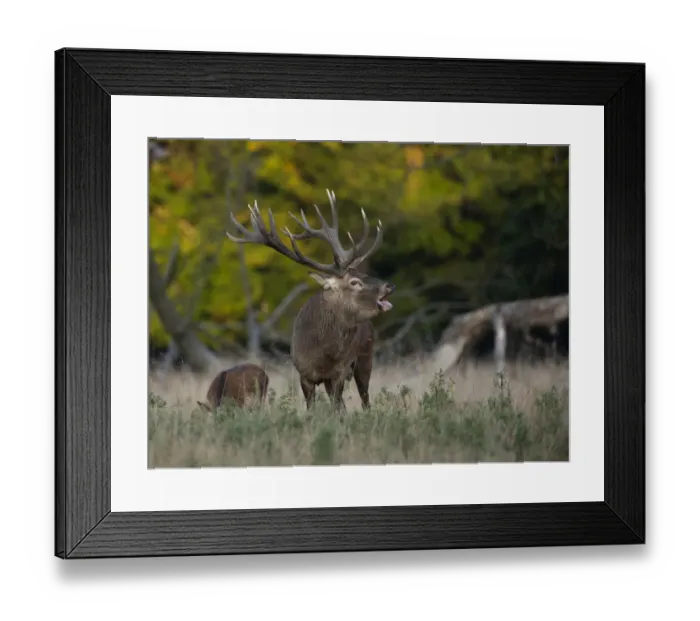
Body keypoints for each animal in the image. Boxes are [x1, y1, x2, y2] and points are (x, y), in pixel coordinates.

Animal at [225, 189, 395, 411]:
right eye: (355, 281)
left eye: (362, 274)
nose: (389, 286)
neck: (323, 354)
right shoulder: (304, 373)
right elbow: (313, 409)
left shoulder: (339, 372)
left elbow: (338, 409)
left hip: (365, 359)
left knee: (365, 400)